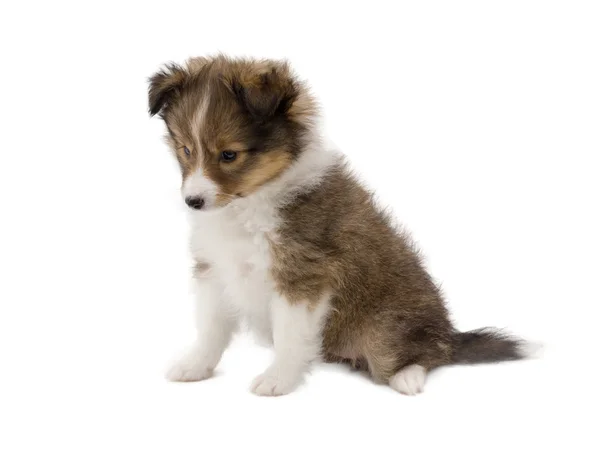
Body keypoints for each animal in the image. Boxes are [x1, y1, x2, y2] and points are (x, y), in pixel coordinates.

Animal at [146, 55, 536, 394]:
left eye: (229, 155)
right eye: (185, 150)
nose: (193, 202)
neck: (249, 205)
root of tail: (450, 332)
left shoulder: (301, 276)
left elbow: (289, 335)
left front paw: (278, 380)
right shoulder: (215, 268)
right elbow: (210, 327)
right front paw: (195, 366)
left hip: (385, 329)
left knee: (430, 353)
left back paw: (408, 376)